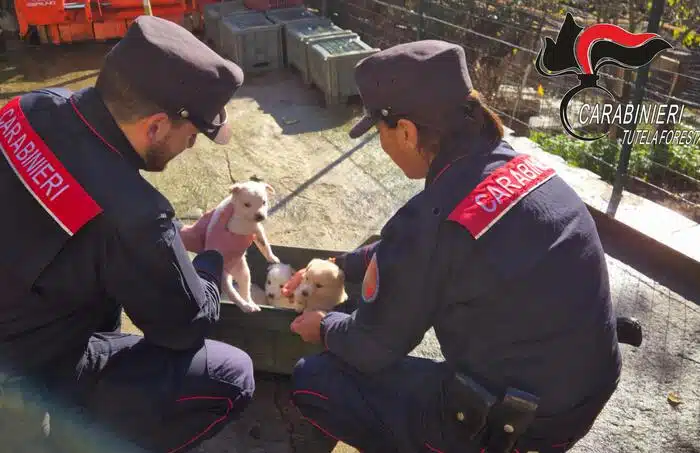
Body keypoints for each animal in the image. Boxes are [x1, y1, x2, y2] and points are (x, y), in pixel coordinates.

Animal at [208, 180, 282, 310]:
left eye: (264, 202)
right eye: (247, 204)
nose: (260, 216)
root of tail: (231, 272)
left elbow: (264, 244)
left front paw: (272, 258)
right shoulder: (241, 226)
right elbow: (256, 232)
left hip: (244, 272)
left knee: (245, 291)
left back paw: (252, 304)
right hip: (224, 278)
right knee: (234, 295)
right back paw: (247, 307)